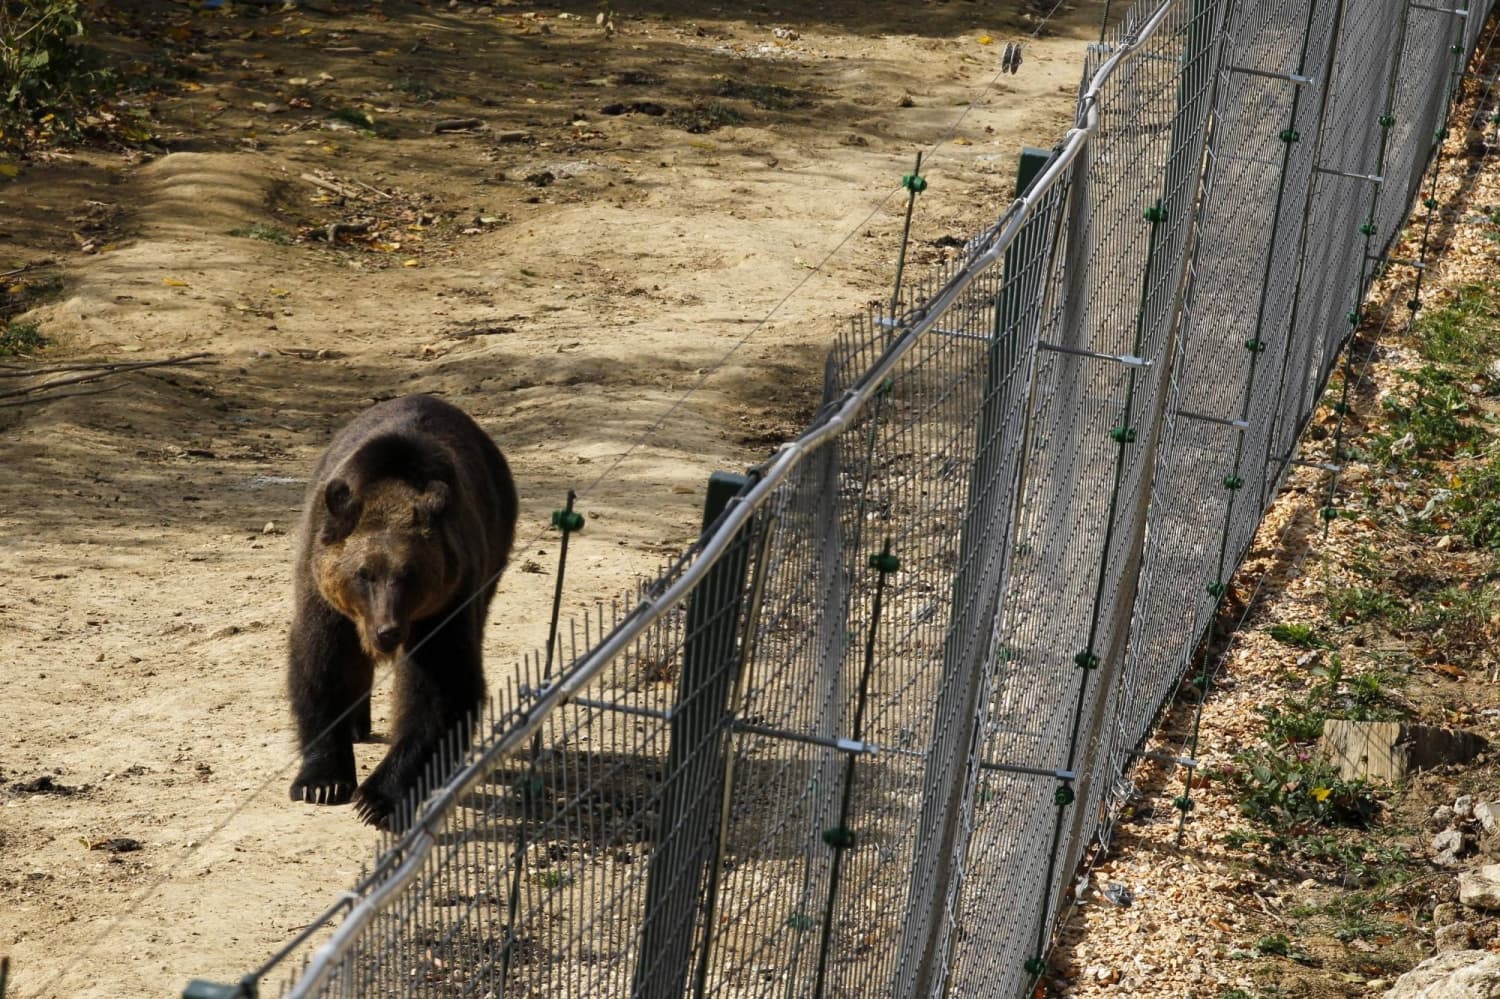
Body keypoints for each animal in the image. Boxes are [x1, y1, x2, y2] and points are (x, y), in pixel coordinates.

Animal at [286, 394, 517, 831]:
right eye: (363, 573)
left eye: (410, 574)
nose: (388, 632)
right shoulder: (326, 600)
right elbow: (321, 666)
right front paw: (323, 781)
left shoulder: (445, 606)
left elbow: (438, 691)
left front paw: (377, 799)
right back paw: (357, 724)